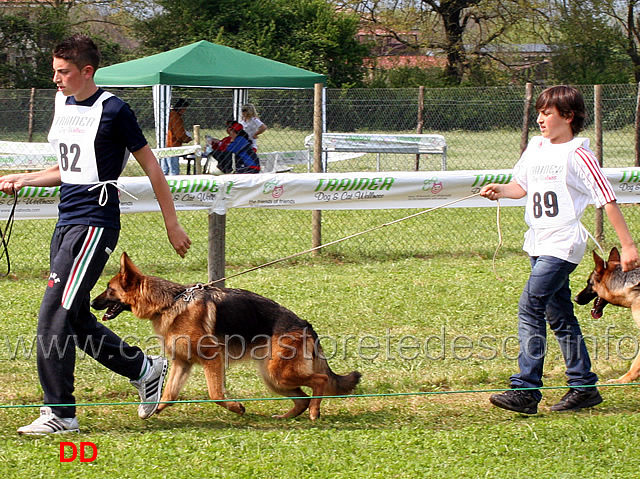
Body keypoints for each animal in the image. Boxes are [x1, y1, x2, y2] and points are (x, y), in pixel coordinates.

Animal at [91, 253, 360, 422]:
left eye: (109, 289)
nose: (91, 303)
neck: (170, 302)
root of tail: (305, 325)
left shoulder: (212, 359)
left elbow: (215, 394)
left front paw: (236, 407)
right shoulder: (182, 362)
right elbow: (169, 393)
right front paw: (155, 408)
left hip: (279, 373)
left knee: (319, 380)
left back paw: (315, 411)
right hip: (273, 378)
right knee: (302, 398)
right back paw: (287, 417)